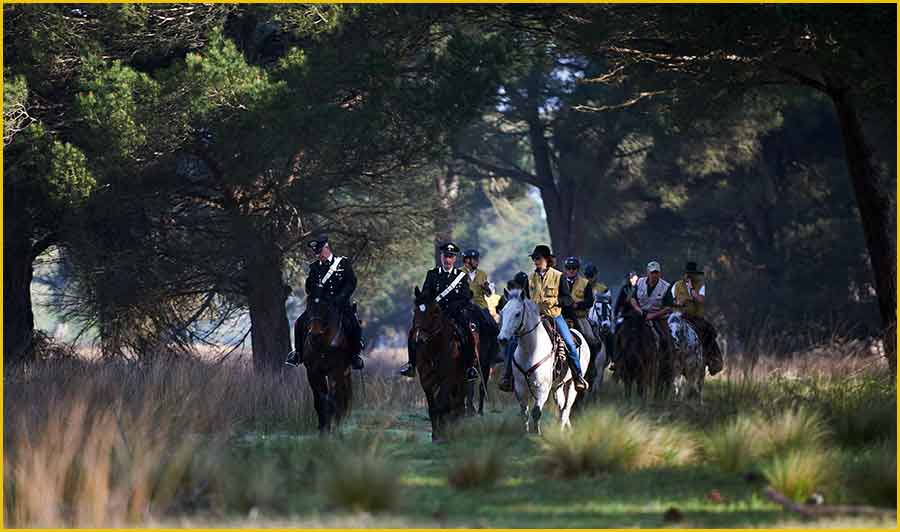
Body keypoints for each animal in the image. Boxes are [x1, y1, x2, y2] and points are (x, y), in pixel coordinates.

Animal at [296, 300, 352, 432]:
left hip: (344, 373)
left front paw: (332, 426)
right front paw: (322, 426)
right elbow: (319, 399)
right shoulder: (312, 372)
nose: (315, 332)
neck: (322, 346)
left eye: (326, 307)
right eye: (309, 306)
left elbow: (333, 398)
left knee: (341, 396)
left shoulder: (335, 371)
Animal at [412, 286, 468, 444]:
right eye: (415, 310)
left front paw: (443, 434)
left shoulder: (447, 379)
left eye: (435, 311)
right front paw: (436, 434)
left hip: (462, 378)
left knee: (458, 403)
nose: (419, 338)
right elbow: (433, 407)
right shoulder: (426, 380)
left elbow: (443, 405)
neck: (434, 348)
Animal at [492, 288, 592, 434]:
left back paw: (561, 430)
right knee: (561, 406)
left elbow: (536, 412)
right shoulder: (520, 388)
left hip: (571, 384)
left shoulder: (542, 389)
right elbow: (525, 413)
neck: (530, 350)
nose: (502, 339)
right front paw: (526, 433)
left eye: (517, 314)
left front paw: (537, 434)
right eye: (503, 312)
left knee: (566, 409)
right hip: (557, 386)